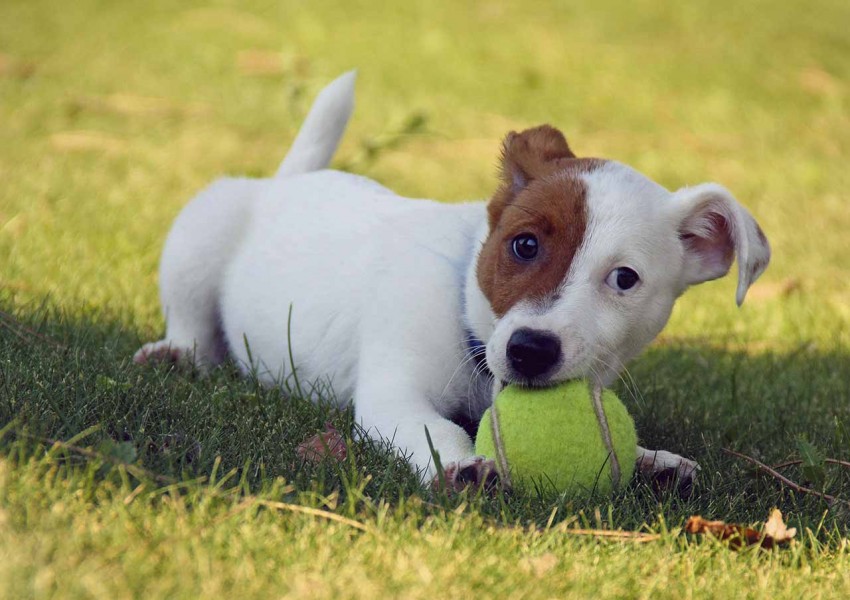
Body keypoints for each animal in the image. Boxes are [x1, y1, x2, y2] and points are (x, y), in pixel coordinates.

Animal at [134, 71, 768, 492]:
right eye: (525, 245)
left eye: (625, 278)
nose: (531, 350)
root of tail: (290, 182)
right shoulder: (394, 395)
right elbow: (437, 431)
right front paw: (462, 466)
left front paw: (655, 460)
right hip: (201, 232)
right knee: (192, 323)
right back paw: (177, 353)